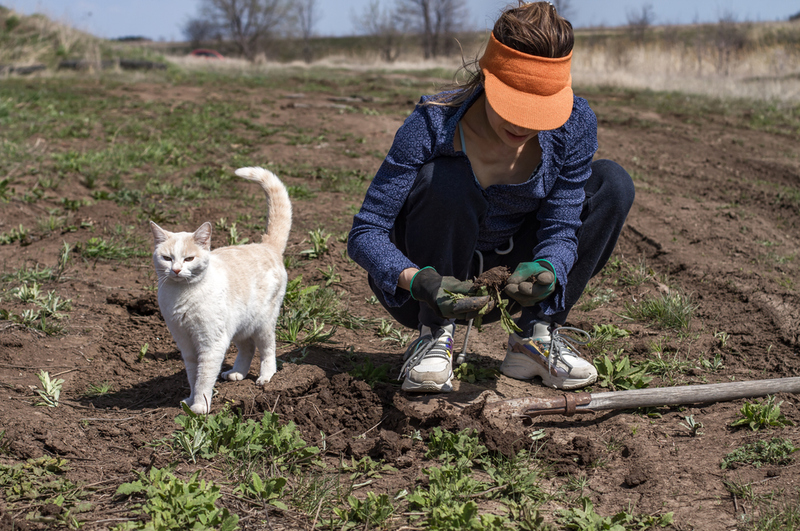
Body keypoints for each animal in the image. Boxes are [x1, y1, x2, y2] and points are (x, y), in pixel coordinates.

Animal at [149, 166, 290, 416]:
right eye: (167, 258)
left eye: (188, 259)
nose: (176, 270)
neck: (182, 295)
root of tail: (265, 245)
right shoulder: (186, 343)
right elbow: (192, 376)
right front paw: (190, 400)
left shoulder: (211, 343)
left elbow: (204, 378)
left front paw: (199, 407)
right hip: (240, 325)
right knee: (247, 348)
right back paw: (237, 373)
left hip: (263, 323)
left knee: (267, 349)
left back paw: (265, 376)